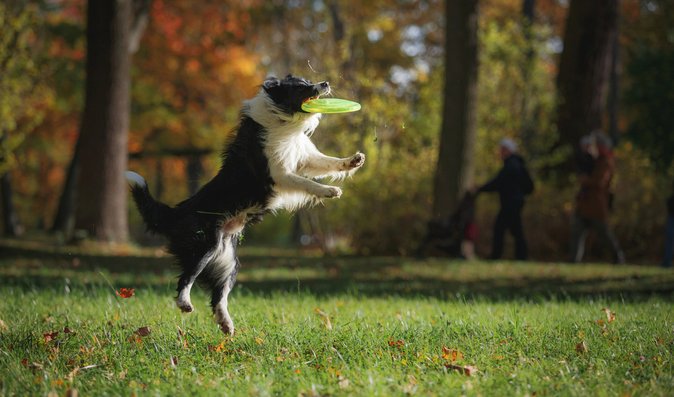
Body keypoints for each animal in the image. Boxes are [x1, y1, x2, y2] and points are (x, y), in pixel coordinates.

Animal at [128, 75, 364, 334]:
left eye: (308, 80)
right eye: (301, 86)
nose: (325, 83)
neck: (281, 119)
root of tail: (177, 212)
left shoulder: (302, 158)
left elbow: (326, 162)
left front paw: (353, 161)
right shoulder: (278, 174)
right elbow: (307, 182)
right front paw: (329, 191)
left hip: (228, 261)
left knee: (218, 295)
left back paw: (226, 324)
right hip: (204, 244)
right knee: (185, 278)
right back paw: (185, 303)